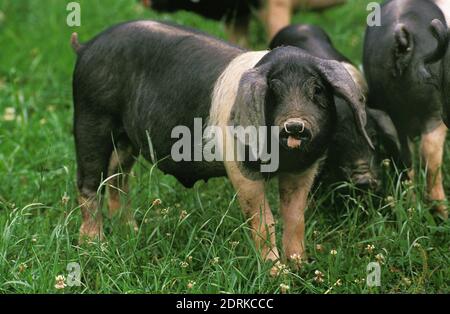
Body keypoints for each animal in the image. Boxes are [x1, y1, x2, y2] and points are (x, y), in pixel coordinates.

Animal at [364, 0, 448, 218]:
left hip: (390, 111)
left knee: (404, 157)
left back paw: (411, 211)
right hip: (433, 111)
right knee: (430, 152)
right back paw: (443, 215)